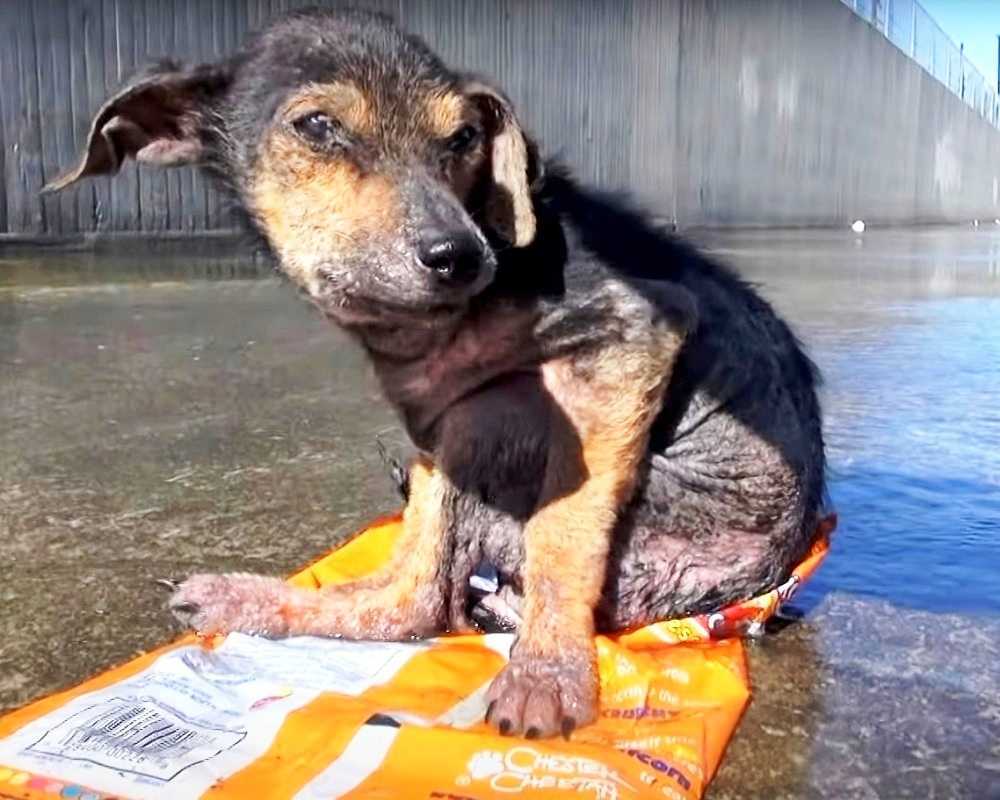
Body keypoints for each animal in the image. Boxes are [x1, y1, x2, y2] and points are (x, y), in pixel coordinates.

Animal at [48, 9, 828, 740]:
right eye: (317, 126)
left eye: (461, 140)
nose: (460, 255)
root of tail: (765, 578)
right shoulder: (430, 417)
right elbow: (418, 522)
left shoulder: (633, 334)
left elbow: (565, 530)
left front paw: (548, 672)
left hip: (517, 429)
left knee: (421, 601)